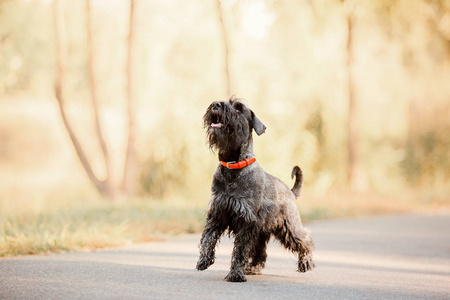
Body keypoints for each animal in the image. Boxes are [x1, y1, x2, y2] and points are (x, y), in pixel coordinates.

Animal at [195, 97, 314, 282]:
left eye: (238, 108)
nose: (216, 105)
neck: (233, 166)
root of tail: (290, 191)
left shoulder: (246, 220)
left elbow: (240, 250)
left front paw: (235, 274)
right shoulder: (217, 212)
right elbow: (208, 236)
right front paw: (204, 260)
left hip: (289, 226)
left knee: (305, 239)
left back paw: (306, 262)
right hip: (262, 231)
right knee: (261, 253)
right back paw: (252, 268)